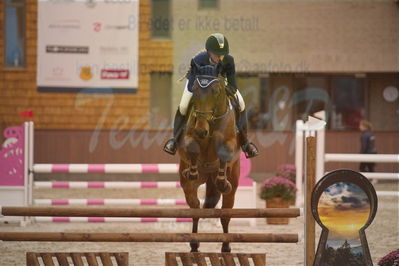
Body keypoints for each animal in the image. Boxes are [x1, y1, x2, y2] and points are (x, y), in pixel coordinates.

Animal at [178, 66, 241, 251]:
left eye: (216, 91)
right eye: (195, 90)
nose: (201, 130)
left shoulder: (230, 142)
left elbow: (224, 152)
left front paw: (222, 181)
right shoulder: (189, 137)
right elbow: (192, 148)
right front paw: (191, 172)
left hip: (232, 187)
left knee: (225, 214)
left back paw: (226, 246)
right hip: (190, 188)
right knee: (195, 209)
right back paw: (194, 243)